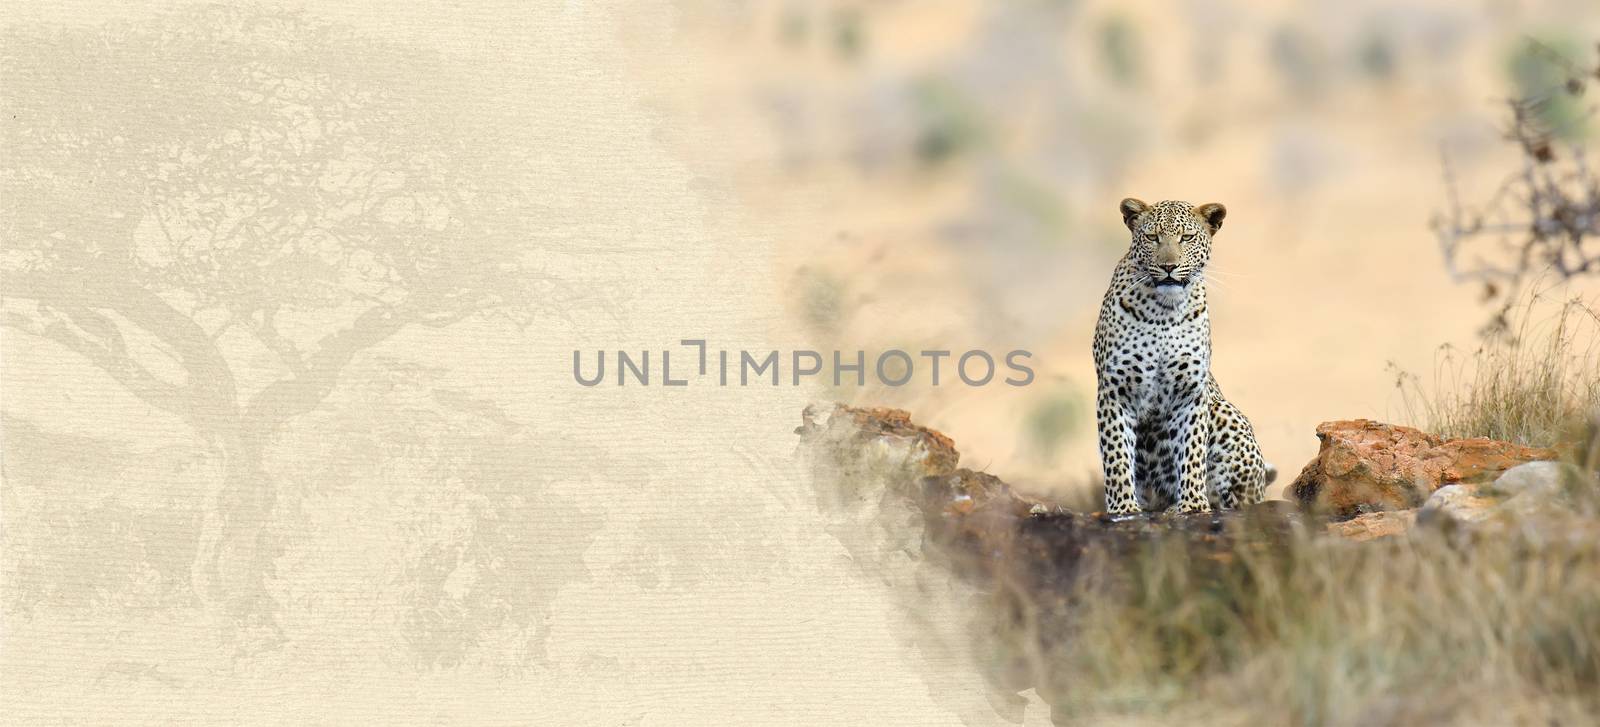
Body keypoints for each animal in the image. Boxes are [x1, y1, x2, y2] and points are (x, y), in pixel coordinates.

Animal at [1094, 196, 1267, 512]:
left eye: (1186, 237)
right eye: (1152, 237)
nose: (1169, 267)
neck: (1163, 311)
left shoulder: (1191, 392)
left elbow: (1192, 450)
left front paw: (1193, 505)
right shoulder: (1115, 390)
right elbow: (1116, 454)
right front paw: (1123, 508)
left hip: (1224, 411)